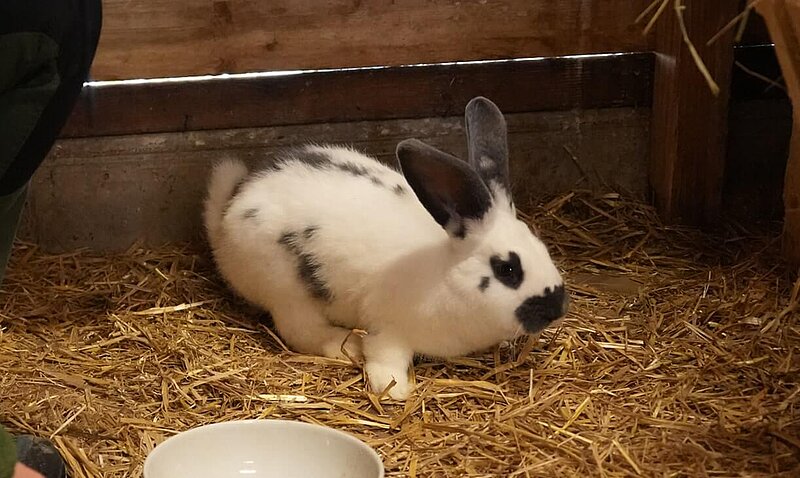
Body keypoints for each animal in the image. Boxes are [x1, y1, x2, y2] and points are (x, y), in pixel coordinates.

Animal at [203, 97, 568, 400]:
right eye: (507, 269)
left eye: (543, 248)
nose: (557, 307)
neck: (445, 275)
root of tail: (226, 221)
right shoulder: (389, 328)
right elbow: (384, 357)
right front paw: (394, 389)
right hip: (287, 292)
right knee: (299, 331)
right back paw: (346, 346)